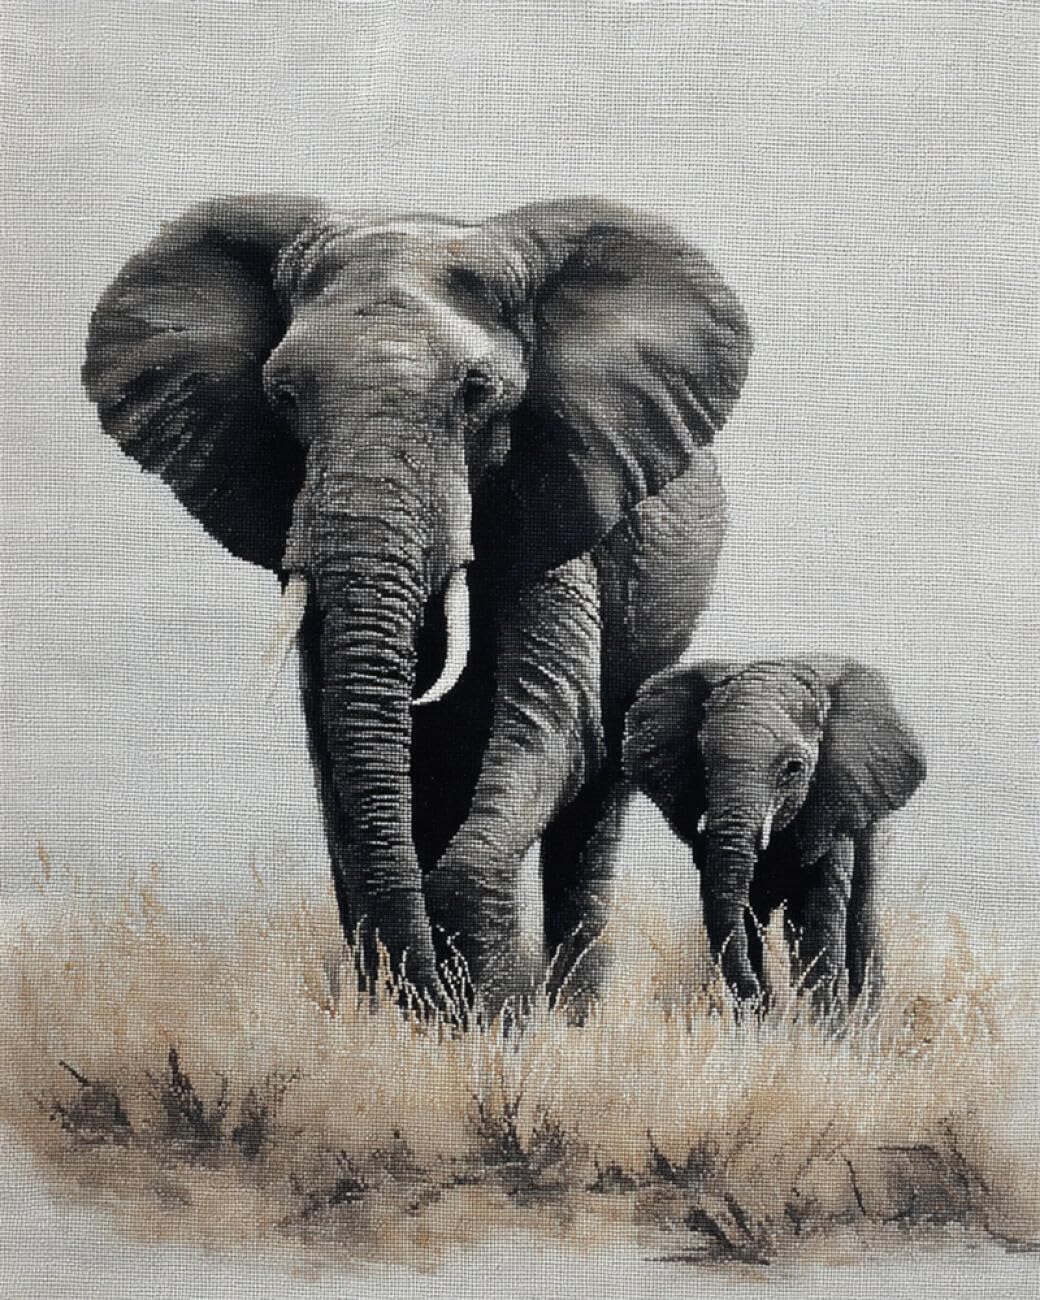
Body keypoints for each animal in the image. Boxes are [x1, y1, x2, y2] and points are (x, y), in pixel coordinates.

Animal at [81, 193, 752, 1011]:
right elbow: (336, 741)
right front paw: (415, 1015)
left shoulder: (563, 494)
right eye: (283, 395)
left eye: (476, 392)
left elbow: (560, 723)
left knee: (591, 809)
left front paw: (493, 1014)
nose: (428, 998)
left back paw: (570, 1014)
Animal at [623, 657, 926, 1012]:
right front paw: (759, 1019)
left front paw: (816, 1025)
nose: (761, 998)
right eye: (703, 759)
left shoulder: (833, 806)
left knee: (859, 913)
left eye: (793, 768)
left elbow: (815, 917)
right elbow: (738, 912)